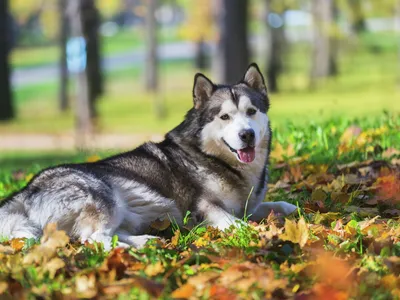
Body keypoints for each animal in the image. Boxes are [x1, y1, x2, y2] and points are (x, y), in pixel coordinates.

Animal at [0, 63, 296, 248]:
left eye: (251, 112)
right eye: (225, 117)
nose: (247, 135)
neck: (215, 159)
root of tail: (26, 189)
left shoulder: (249, 205)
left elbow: (274, 205)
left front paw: (291, 209)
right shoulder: (204, 208)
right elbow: (234, 222)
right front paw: (254, 231)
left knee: (108, 235)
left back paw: (146, 242)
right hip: (102, 197)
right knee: (93, 239)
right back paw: (132, 248)